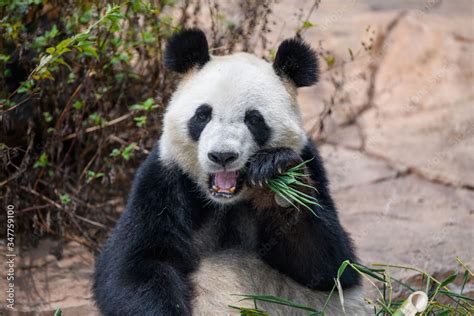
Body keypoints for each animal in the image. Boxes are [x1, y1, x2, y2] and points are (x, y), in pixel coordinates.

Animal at [92, 28, 366, 314]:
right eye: (202, 115)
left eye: (254, 119)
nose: (222, 156)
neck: (225, 203)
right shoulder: (164, 179)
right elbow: (135, 264)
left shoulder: (309, 163)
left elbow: (330, 266)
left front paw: (278, 179)